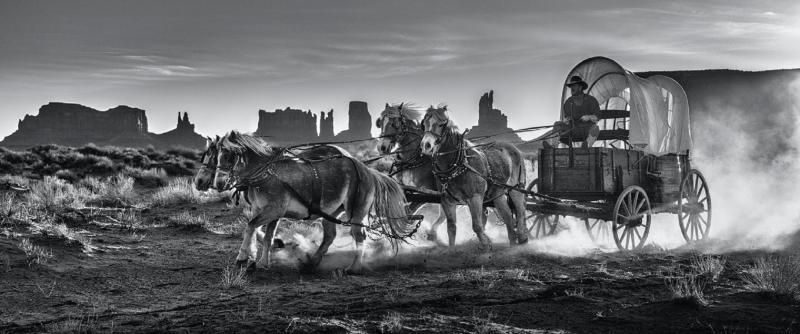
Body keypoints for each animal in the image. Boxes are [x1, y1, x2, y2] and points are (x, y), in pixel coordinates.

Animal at [212, 130, 416, 272]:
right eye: (217, 155)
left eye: (230, 155)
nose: (219, 183)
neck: (266, 174)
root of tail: (367, 170)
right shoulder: (266, 211)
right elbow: (264, 234)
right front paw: (261, 261)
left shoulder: (273, 210)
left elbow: (250, 226)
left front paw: (243, 257)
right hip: (331, 212)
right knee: (330, 236)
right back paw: (311, 262)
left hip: (356, 213)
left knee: (359, 236)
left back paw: (354, 267)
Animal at [422, 105, 528, 247]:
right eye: (424, 123)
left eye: (441, 123)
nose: (426, 145)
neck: (460, 163)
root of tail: (514, 149)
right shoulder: (447, 201)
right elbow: (451, 228)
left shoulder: (475, 198)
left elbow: (477, 226)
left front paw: (486, 244)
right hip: (498, 194)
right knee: (508, 219)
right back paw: (512, 244)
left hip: (516, 189)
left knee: (520, 211)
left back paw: (522, 237)